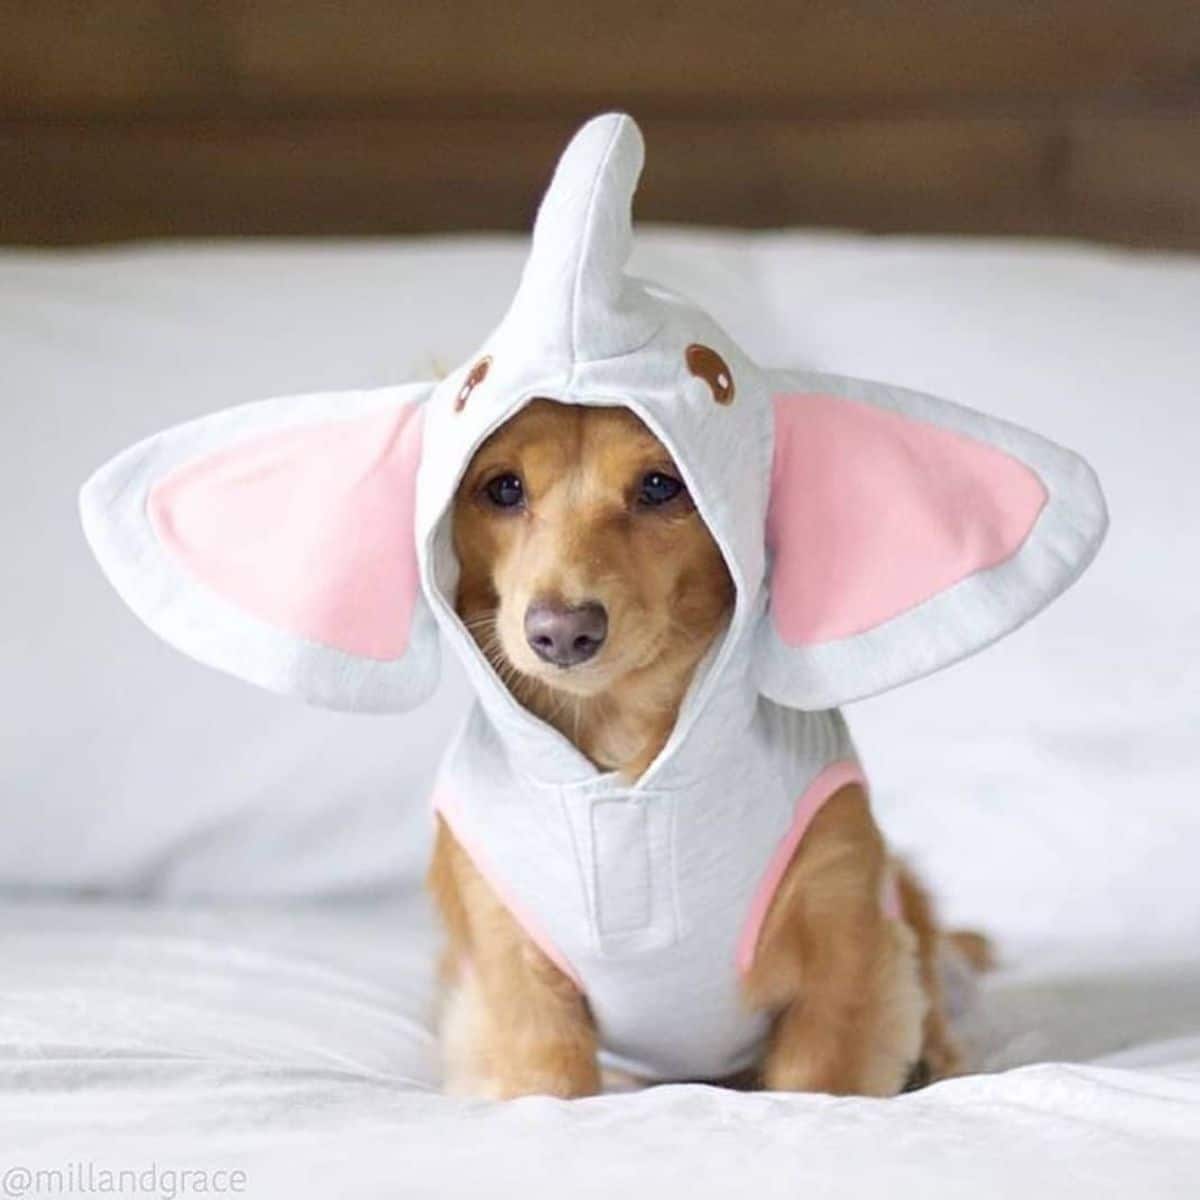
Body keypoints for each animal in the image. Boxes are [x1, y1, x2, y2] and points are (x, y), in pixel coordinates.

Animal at [427, 400, 979, 1099]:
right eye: (503, 488)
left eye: (660, 487)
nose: (563, 631)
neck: (626, 752)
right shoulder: (513, 965)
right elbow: (550, 1076)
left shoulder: (840, 921)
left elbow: (816, 1073)